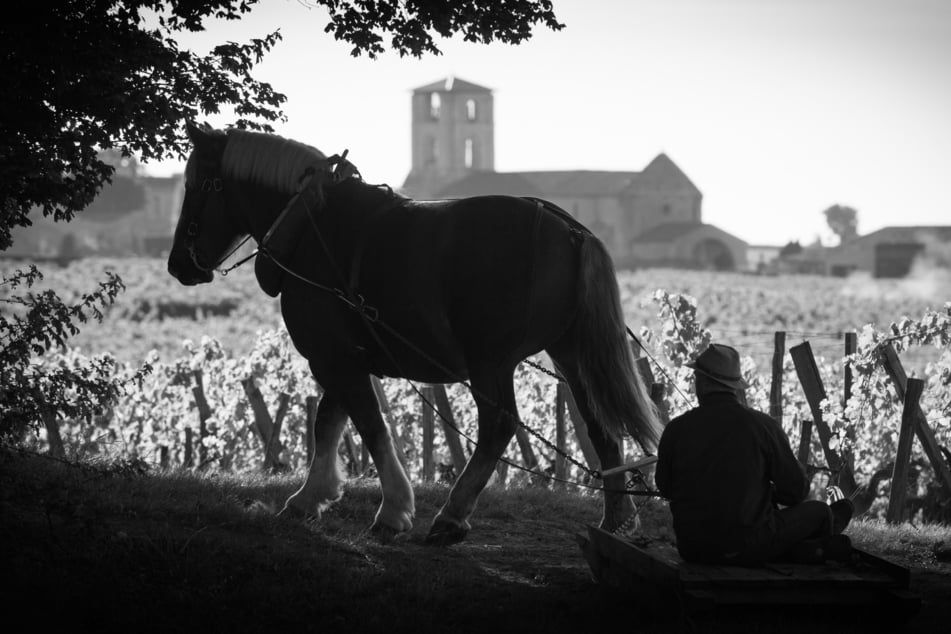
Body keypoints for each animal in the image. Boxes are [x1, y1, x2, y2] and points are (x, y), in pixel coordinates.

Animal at [167, 123, 660, 544]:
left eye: (197, 186)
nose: (177, 266)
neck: (309, 223)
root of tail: (571, 230)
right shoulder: (344, 356)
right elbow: (329, 421)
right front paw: (310, 498)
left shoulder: (332, 355)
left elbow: (368, 425)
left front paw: (392, 510)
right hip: (570, 352)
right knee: (599, 423)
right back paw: (616, 519)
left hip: (490, 360)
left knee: (498, 425)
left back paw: (452, 516)